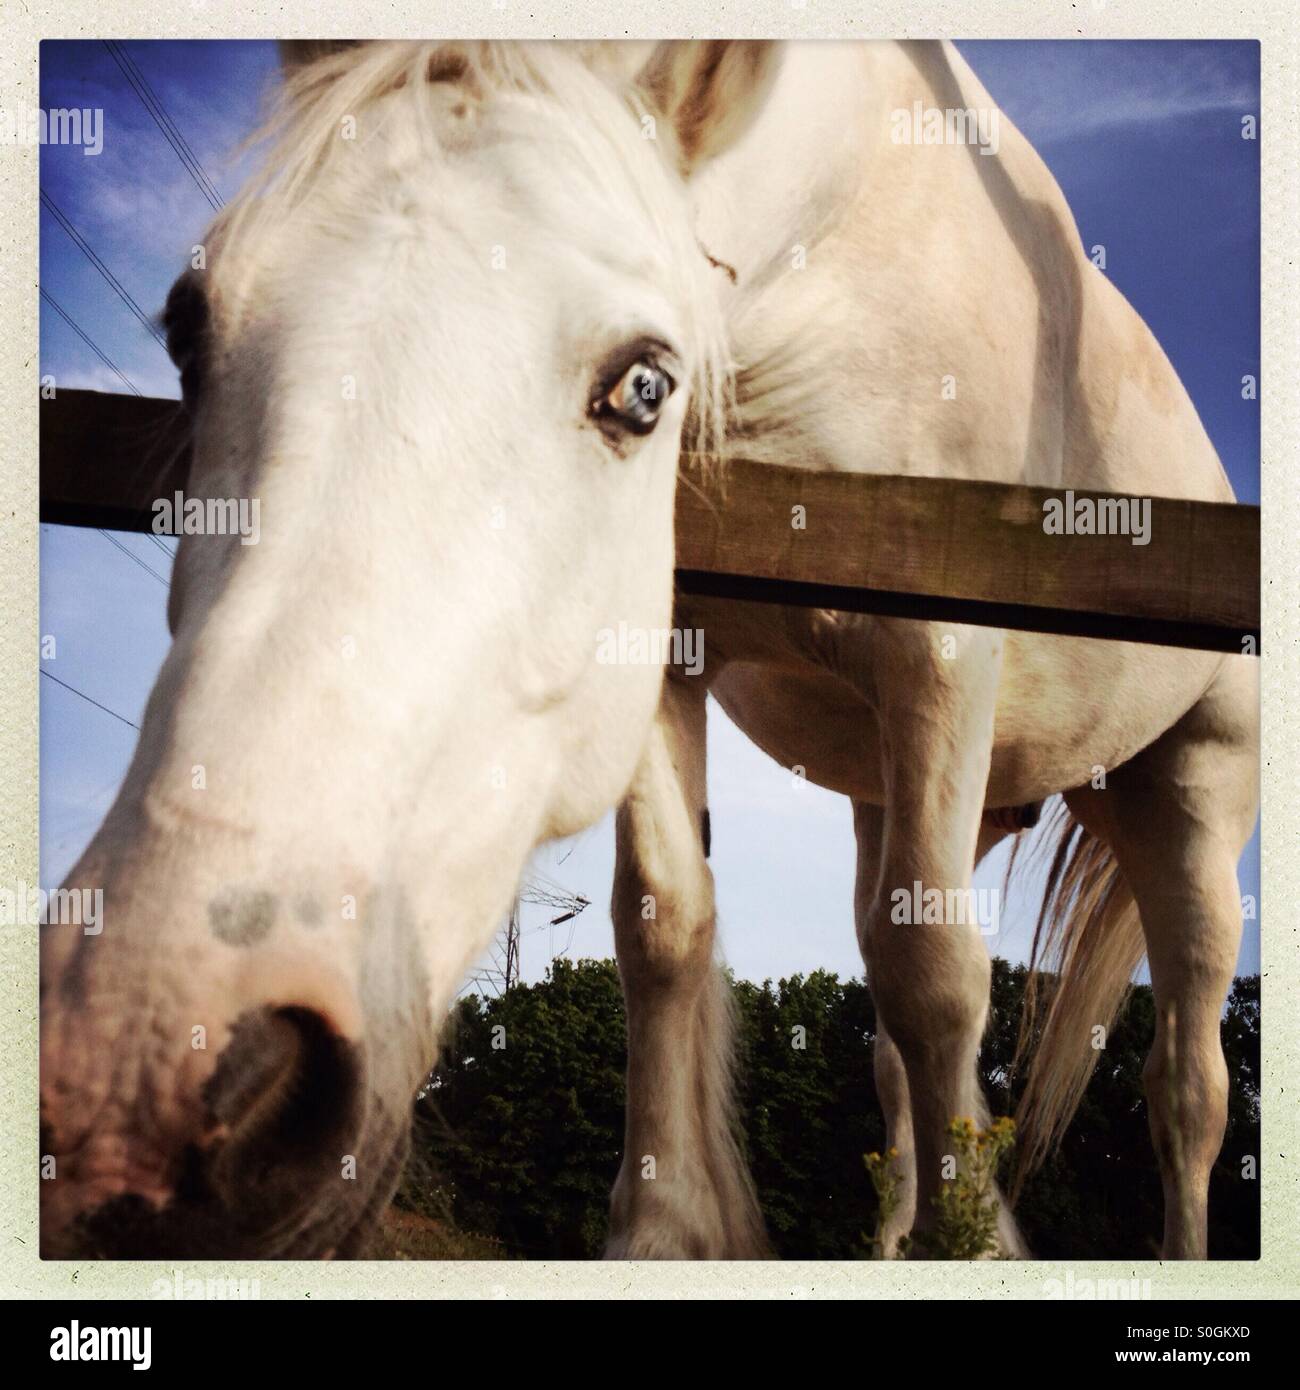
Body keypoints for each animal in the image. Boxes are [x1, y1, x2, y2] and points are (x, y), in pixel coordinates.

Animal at [39, 39, 1258, 1262]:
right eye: (186, 332)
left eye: (642, 387)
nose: (137, 1087)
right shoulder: (668, 648)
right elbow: (668, 927)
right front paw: (669, 1233)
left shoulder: (942, 651)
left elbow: (942, 983)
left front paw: (975, 1245)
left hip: (1191, 792)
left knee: (1182, 1085)